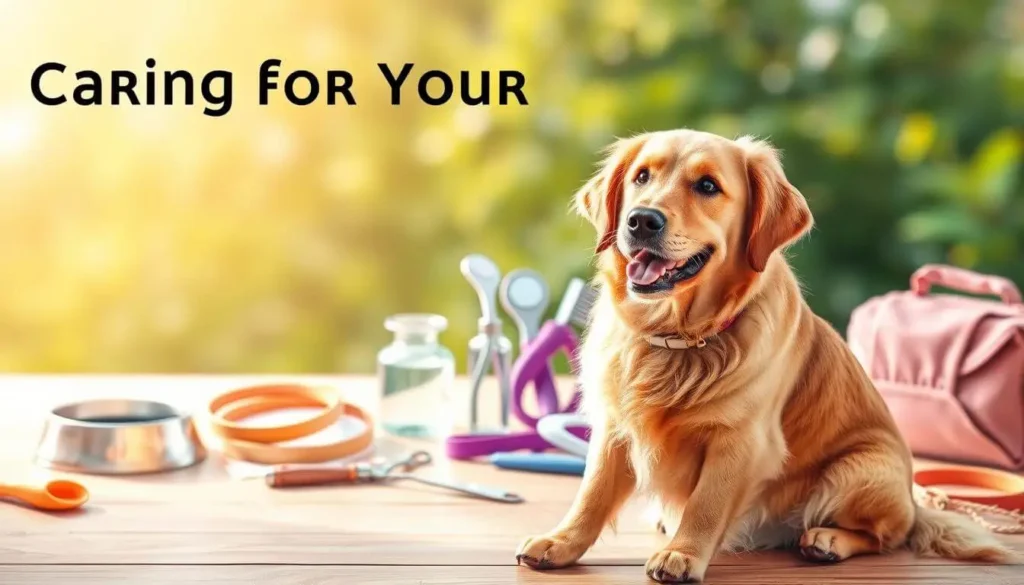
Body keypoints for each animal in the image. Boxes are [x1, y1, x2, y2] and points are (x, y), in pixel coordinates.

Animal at [516, 130, 1011, 581]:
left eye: (708, 186)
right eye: (641, 176)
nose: (641, 220)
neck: (679, 338)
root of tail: (912, 499)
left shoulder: (740, 439)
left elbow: (705, 504)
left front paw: (681, 555)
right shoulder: (615, 425)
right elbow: (592, 493)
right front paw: (560, 542)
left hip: (858, 469)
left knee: (887, 535)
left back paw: (828, 540)